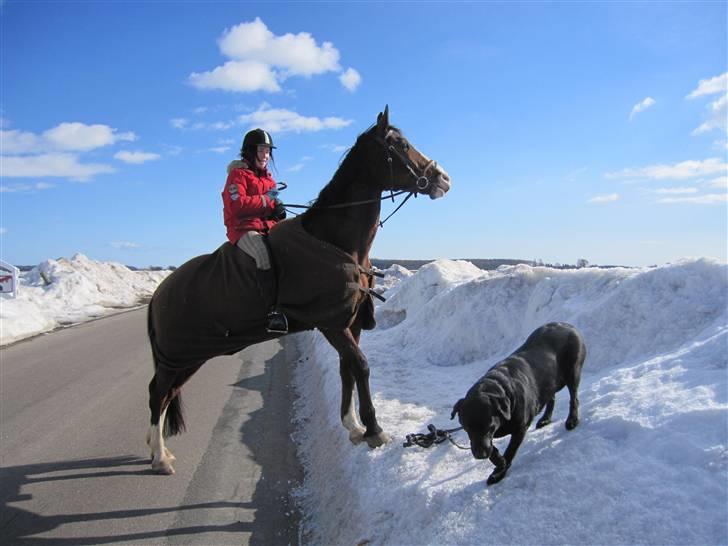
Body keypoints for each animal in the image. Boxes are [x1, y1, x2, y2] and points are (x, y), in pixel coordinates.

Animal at [145, 105, 452, 472]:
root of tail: (159, 295)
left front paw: (353, 427)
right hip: (177, 356)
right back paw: (159, 456)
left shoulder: (350, 322)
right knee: (158, 394)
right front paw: (374, 430)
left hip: (185, 358)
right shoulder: (332, 323)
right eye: (401, 145)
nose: (443, 178)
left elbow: (348, 368)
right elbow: (361, 365)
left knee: (165, 394)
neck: (334, 241)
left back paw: (158, 450)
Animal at [450, 320, 584, 482]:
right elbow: (492, 449)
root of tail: (568, 325)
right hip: (549, 380)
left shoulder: (520, 427)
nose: (480, 455)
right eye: (467, 428)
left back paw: (572, 420)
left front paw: (499, 471)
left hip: (572, 371)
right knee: (551, 397)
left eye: (488, 426)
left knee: (574, 398)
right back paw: (545, 419)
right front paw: (498, 461)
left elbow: (510, 450)